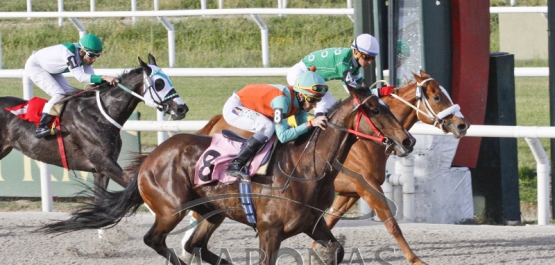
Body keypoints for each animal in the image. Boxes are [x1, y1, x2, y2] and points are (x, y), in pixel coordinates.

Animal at [191, 69, 470, 262]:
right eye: (437, 96)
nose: (462, 125)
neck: (362, 139)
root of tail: (216, 121)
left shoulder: (348, 192)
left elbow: (330, 219)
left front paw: (318, 251)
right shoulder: (367, 187)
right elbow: (391, 222)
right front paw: (415, 259)